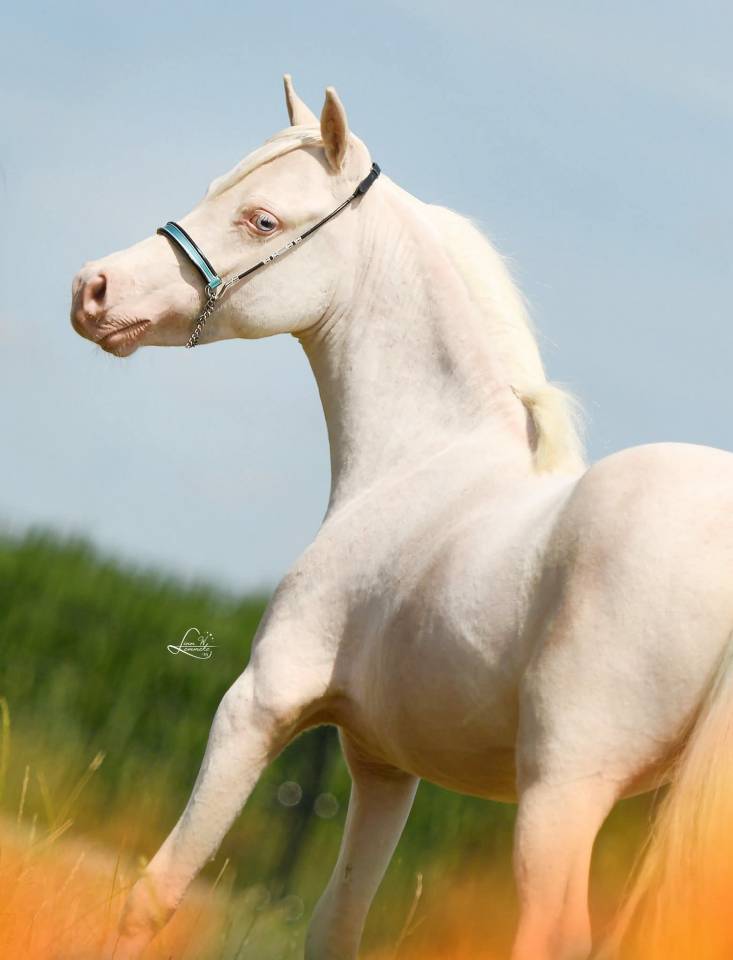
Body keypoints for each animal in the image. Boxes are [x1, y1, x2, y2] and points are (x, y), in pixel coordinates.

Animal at [70, 75, 733, 960]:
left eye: (262, 220)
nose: (93, 289)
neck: (420, 463)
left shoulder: (259, 704)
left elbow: (155, 889)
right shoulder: (382, 765)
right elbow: (334, 926)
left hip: (563, 791)